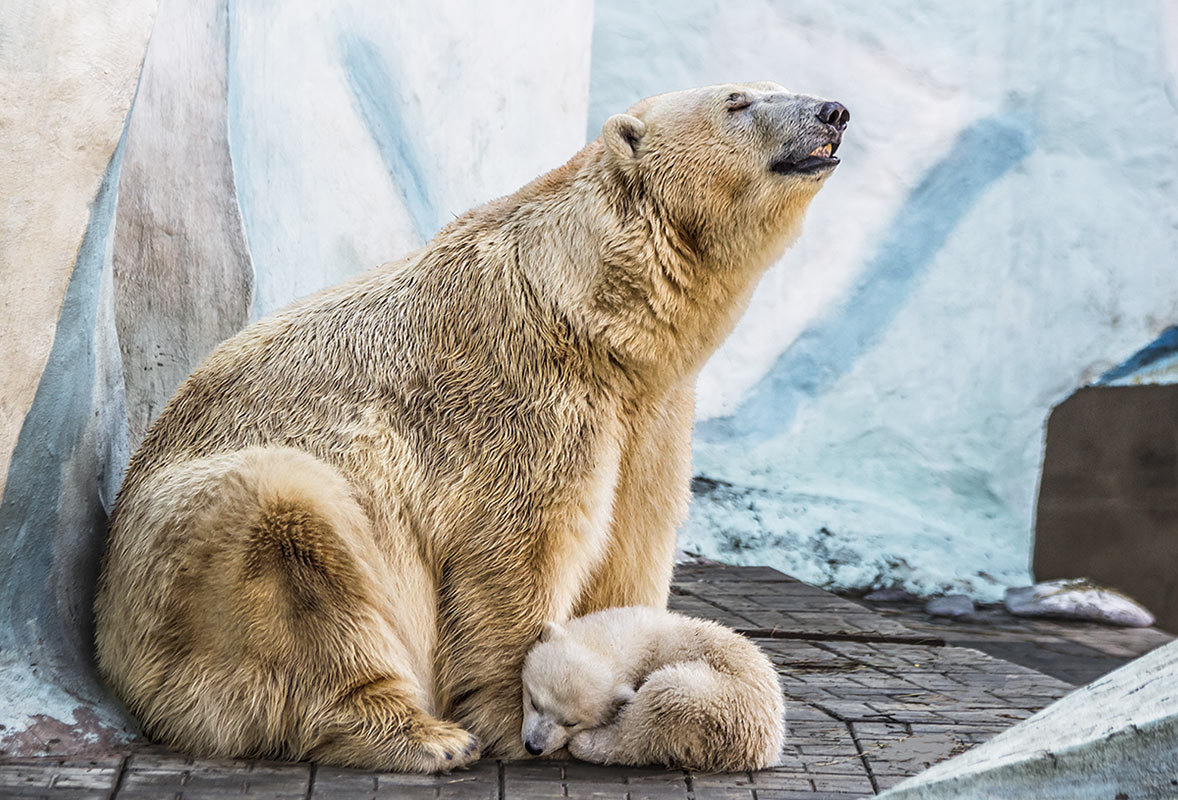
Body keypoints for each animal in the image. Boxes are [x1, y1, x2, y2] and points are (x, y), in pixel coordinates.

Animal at [91, 84, 848, 772]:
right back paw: (424, 736)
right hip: (187, 556)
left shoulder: (651, 416)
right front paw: (518, 719)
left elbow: (632, 545)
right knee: (287, 535)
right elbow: (513, 552)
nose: (833, 111)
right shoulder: (521, 400)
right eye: (739, 100)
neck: (587, 312)